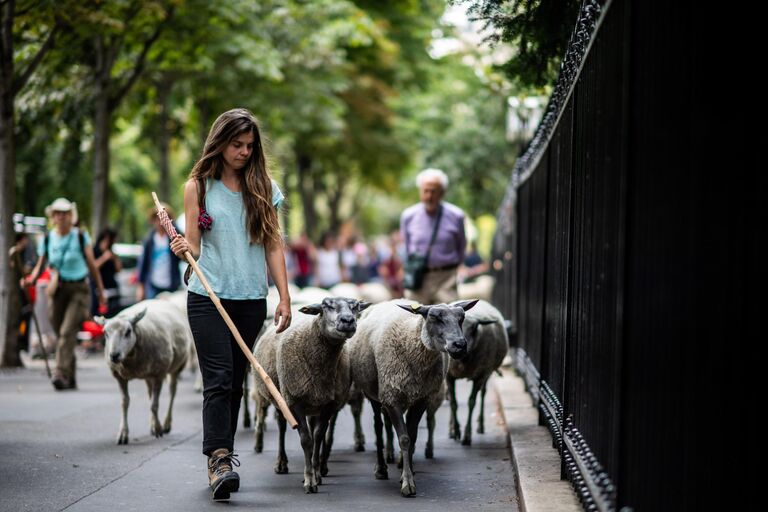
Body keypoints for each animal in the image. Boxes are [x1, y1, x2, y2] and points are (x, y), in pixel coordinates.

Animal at [97, 300, 190, 444]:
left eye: (128, 332)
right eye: (105, 333)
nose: (114, 356)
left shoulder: (159, 373)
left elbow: (154, 405)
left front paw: (158, 429)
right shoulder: (119, 376)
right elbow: (125, 403)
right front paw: (123, 434)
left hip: (176, 367)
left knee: (172, 392)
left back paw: (166, 424)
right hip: (148, 374)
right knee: (150, 393)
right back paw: (153, 424)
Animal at [252, 298, 368, 494]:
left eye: (355, 307)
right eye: (326, 305)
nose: (348, 320)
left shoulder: (328, 404)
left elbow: (318, 437)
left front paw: (317, 474)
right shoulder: (295, 401)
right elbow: (306, 440)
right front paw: (309, 481)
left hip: (314, 403)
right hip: (282, 397)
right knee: (282, 427)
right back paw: (281, 463)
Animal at [346, 300, 476, 496]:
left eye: (462, 318)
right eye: (434, 317)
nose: (460, 345)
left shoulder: (421, 399)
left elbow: (412, 436)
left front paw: (409, 471)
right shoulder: (392, 398)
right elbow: (404, 439)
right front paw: (407, 483)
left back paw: (397, 459)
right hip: (376, 394)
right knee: (378, 427)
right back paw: (381, 468)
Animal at [444, 298, 510, 446]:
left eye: (475, 328)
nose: (460, 347)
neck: (463, 361)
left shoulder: (480, 375)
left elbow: (471, 402)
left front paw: (467, 436)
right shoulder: (449, 376)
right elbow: (453, 403)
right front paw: (456, 430)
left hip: (486, 373)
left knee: (483, 394)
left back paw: (480, 425)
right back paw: (450, 430)